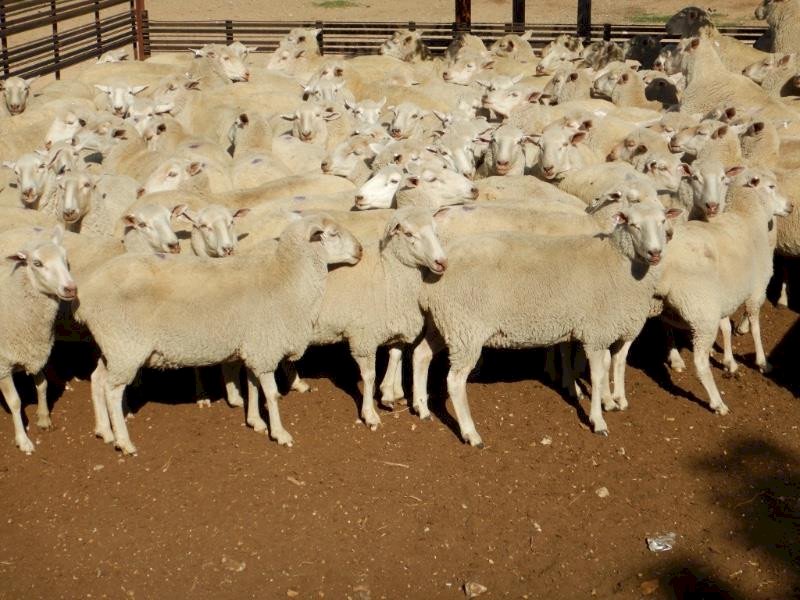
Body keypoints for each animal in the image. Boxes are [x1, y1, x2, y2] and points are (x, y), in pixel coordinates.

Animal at [0, 226, 76, 453]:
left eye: (65, 259)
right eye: (37, 263)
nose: (71, 289)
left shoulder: (36, 350)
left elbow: (42, 386)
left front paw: (43, 418)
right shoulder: (3, 364)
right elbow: (15, 402)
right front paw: (23, 440)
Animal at [75, 215, 363, 454]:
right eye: (333, 234)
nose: (361, 250)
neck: (287, 278)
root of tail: (87, 294)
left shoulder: (252, 347)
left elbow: (252, 385)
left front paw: (255, 421)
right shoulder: (265, 348)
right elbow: (271, 394)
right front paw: (280, 433)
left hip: (113, 347)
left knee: (98, 379)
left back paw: (105, 431)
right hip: (126, 345)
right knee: (112, 390)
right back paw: (125, 442)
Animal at [416, 202, 681, 446]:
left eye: (663, 221)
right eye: (633, 224)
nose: (655, 252)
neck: (617, 261)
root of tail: (434, 275)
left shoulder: (610, 327)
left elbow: (613, 364)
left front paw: (612, 401)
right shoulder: (596, 332)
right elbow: (597, 375)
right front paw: (598, 420)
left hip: (444, 324)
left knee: (421, 355)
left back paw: (422, 408)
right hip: (465, 328)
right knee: (455, 381)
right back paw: (471, 433)